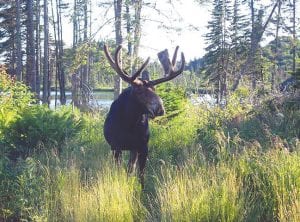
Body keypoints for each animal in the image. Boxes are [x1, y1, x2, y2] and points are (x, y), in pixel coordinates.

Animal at [102, 44, 184, 188]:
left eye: (155, 89)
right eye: (139, 91)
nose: (160, 109)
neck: (129, 123)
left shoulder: (143, 146)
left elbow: (141, 176)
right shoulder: (116, 147)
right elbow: (119, 172)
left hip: (134, 149)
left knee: (131, 168)